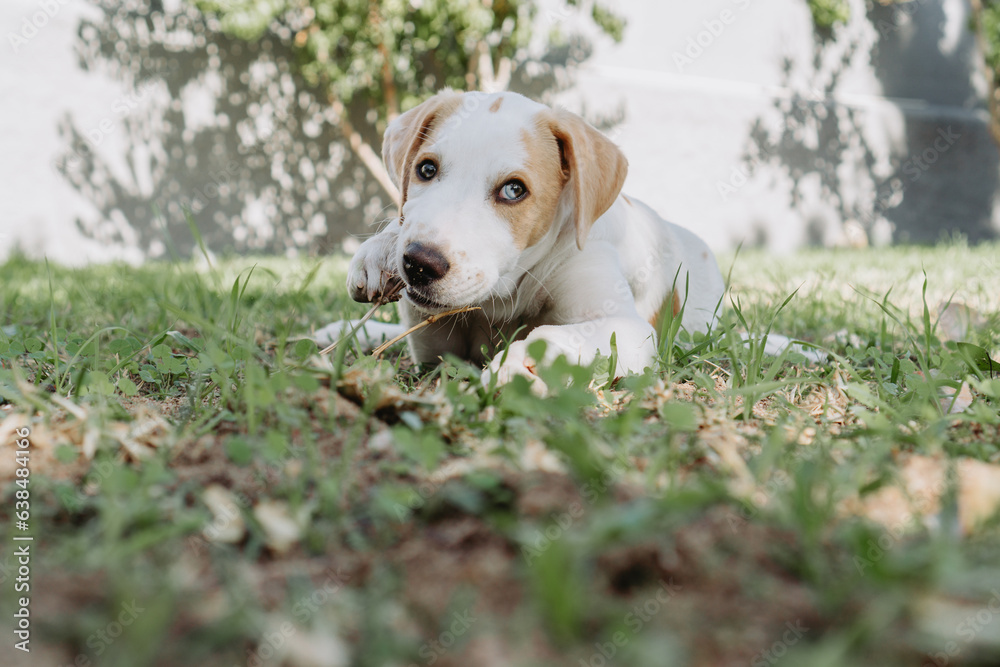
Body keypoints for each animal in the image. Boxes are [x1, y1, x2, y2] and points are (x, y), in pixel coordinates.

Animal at [320, 90, 728, 384]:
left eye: (514, 190)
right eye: (426, 169)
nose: (420, 264)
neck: (507, 292)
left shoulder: (627, 329)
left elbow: (551, 335)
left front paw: (518, 362)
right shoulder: (436, 347)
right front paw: (379, 251)